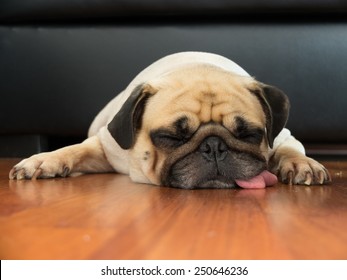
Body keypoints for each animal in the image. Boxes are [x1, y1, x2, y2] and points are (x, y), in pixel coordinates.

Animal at [9, 51, 334, 189]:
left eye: (248, 135)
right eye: (171, 137)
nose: (214, 147)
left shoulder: (284, 136)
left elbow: (290, 149)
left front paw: (302, 165)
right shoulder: (106, 146)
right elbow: (73, 150)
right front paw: (43, 161)